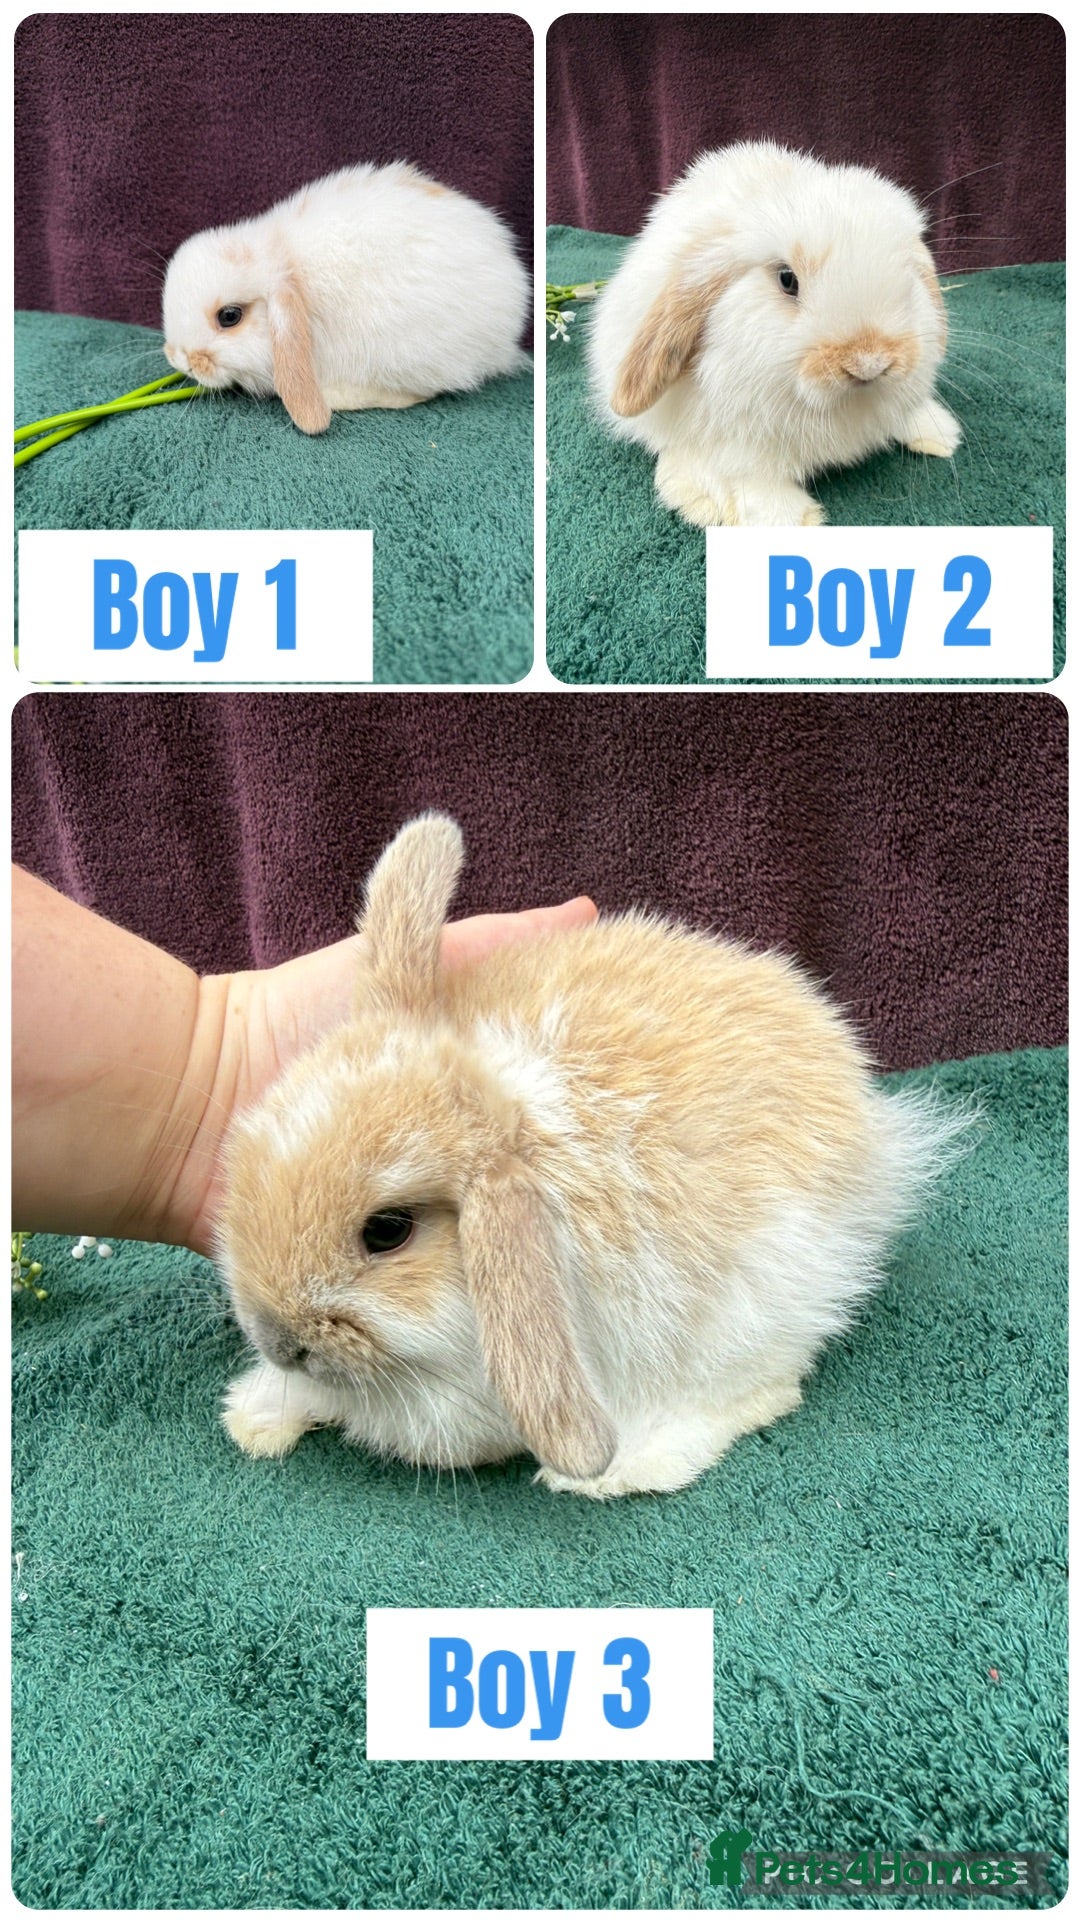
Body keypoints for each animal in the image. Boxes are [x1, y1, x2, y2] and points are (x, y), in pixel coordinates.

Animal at [217, 815, 966, 1499]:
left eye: (387, 1231)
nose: (278, 1340)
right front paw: (253, 1417)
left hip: (752, 1308)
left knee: (759, 1391)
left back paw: (622, 1469)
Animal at [586, 141, 962, 527]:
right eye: (787, 279)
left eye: (907, 278)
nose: (869, 363)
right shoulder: (738, 446)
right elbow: (749, 480)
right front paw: (795, 519)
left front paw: (942, 435)